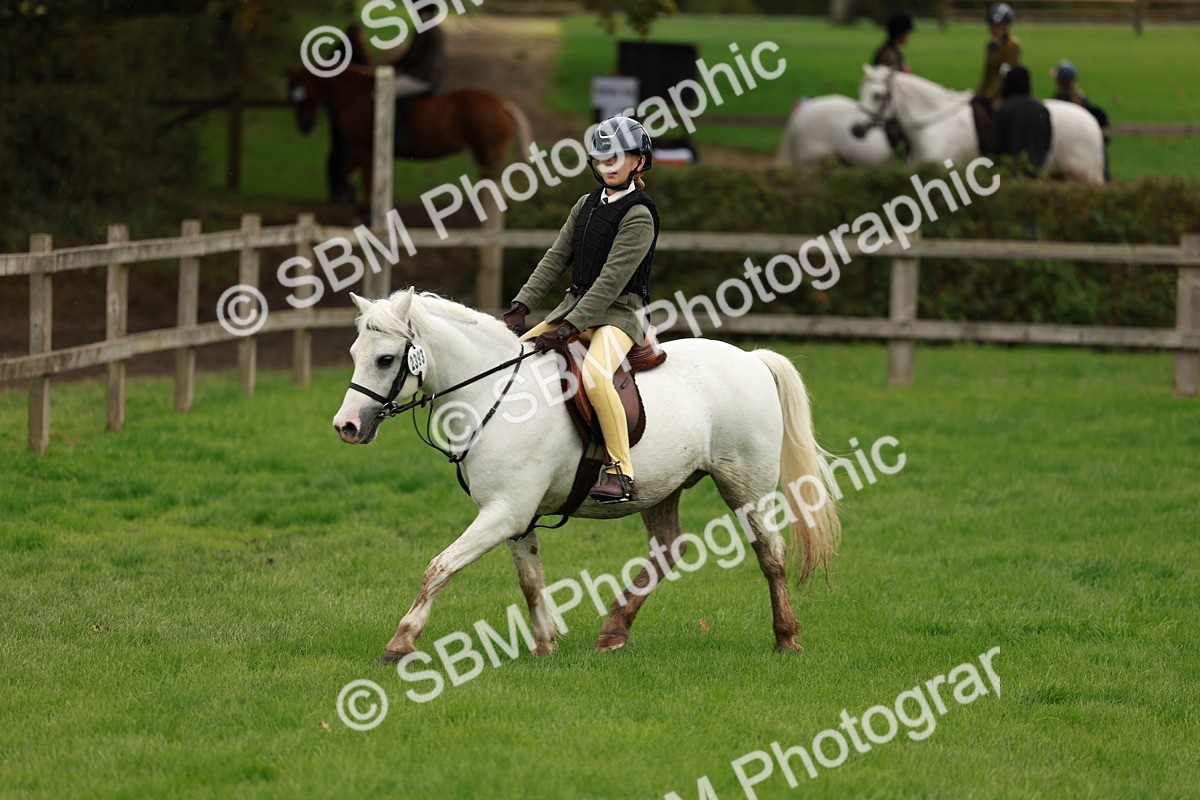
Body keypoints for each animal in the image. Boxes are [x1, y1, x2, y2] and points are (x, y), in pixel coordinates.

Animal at [286, 66, 533, 206]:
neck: (353, 96)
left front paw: (363, 205)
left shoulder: (365, 149)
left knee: (495, 182)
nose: (304, 126)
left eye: (301, 93)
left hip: (488, 151)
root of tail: (502, 103)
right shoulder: (358, 150)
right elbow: (343, 171)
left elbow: (365, 180)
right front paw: (349, 196)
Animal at [331, 289, 842, 664]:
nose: (346, 426)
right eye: (354, 352)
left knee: (770, 553)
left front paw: (401, 642)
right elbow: (530, 579)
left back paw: (786, 637)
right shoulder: (516, 516)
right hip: (661, 488)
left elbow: (440, 566)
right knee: (668, 548)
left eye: (385, 359)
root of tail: (752, 358)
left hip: (745, 486)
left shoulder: (504, 512)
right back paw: (614, 630)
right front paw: (545, 645)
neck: (496, 392)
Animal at [857, 65, 1105, 184]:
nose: (857, 129)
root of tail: (1091, 121)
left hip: (1078, 178)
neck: (935, 124)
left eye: (878, 95)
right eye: (861, 91)